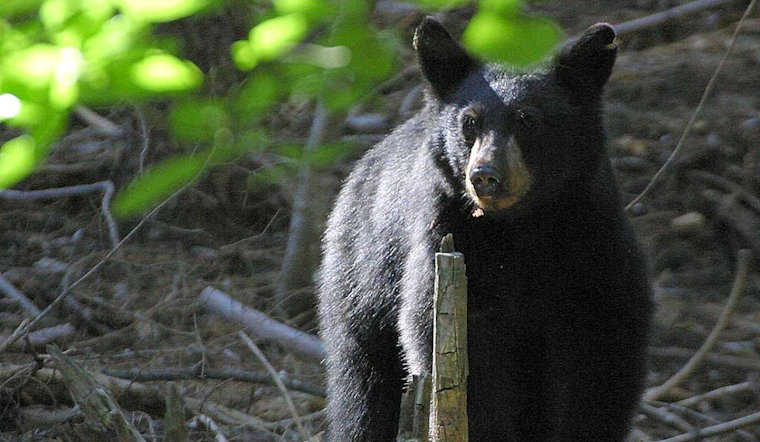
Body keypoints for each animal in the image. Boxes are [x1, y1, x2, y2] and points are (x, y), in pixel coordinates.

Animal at [317, 17, 653, 442]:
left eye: (528, 119)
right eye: (469, 122)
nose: (485, 176)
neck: (523, 225)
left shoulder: (593, 238)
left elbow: (605, 351)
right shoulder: (449, 236)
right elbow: (459, 350)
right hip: (361, 283)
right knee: (362, 392)